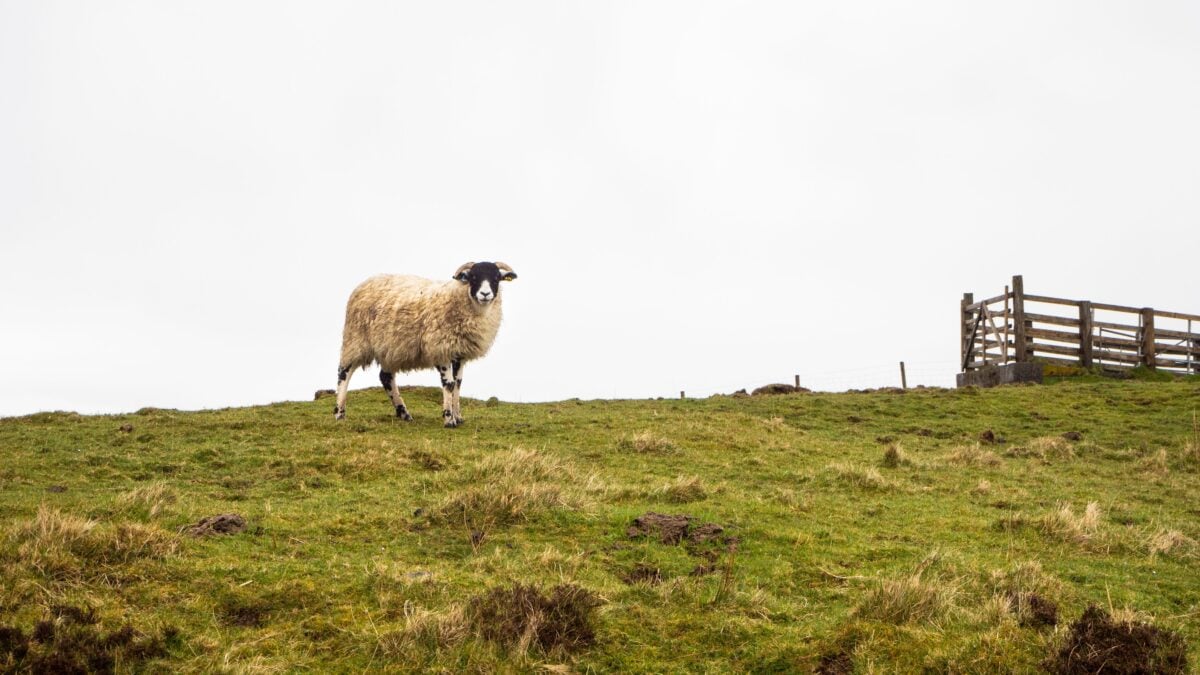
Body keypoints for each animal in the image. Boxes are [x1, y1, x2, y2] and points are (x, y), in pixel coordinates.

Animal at [333, 261, 517, 427]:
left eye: (496, 278)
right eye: (473, 277)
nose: (485, 294)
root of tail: (364, 283)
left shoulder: (459, 353)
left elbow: (458, 384)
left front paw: (458, 417)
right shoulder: (441, 348)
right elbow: (449, 384)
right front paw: (449, 419)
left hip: (390, 348)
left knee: (385, 377)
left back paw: (404, 413)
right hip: (355, 340)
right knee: (344, 373)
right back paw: (339, 413)